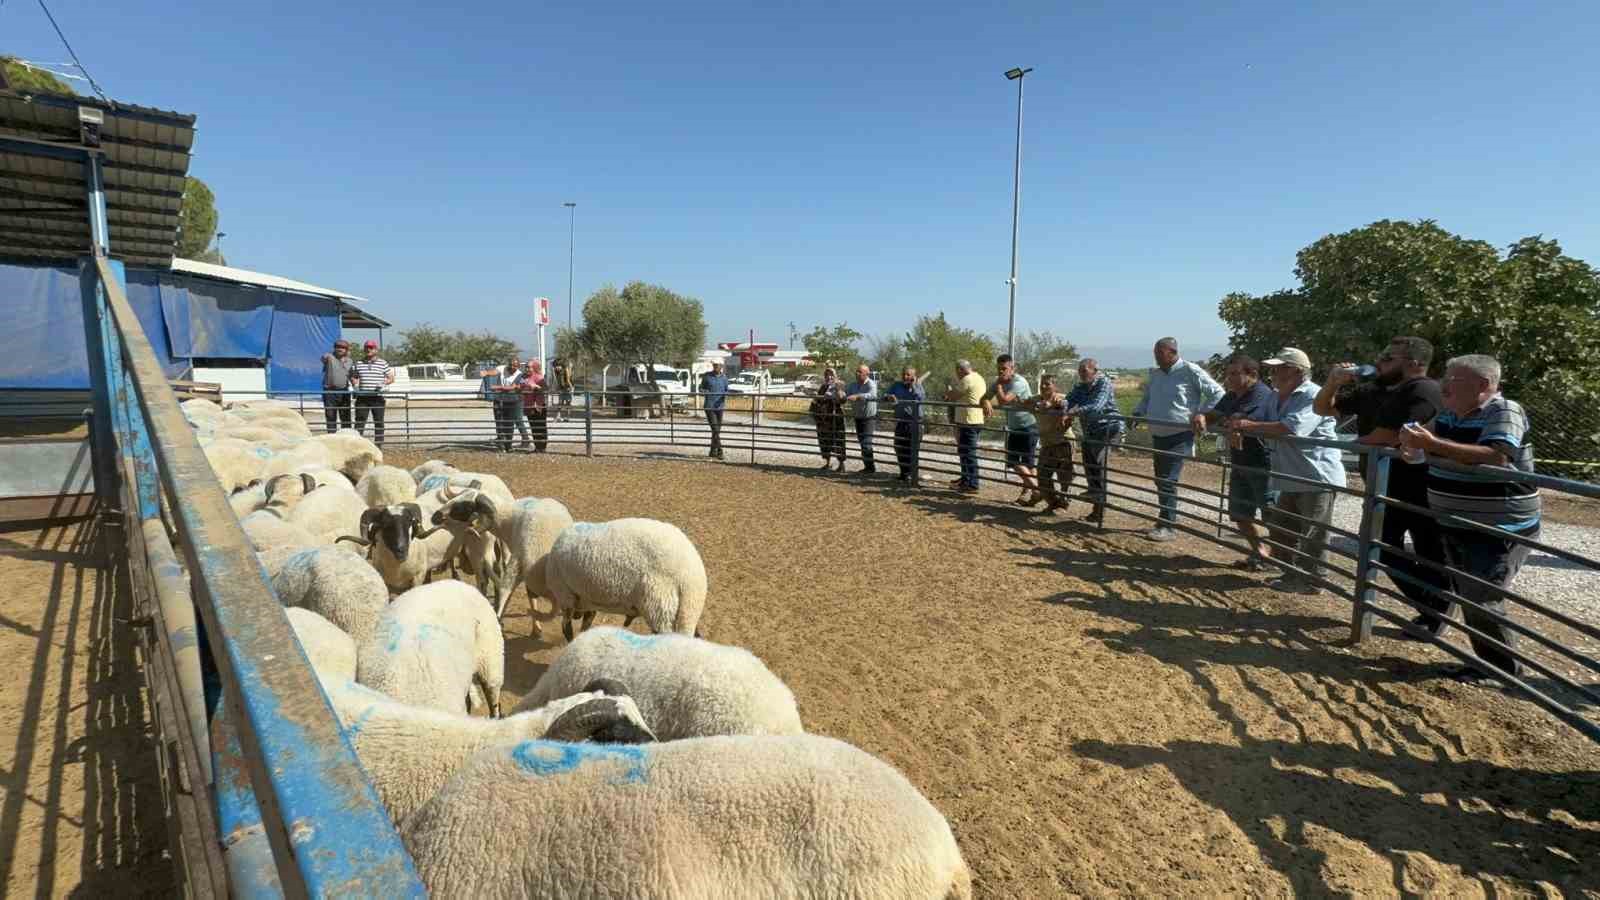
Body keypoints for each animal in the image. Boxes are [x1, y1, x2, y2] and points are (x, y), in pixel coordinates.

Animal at [544, 515, 707, 640]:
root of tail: (692, 580)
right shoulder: (585, 599)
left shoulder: (566, 595)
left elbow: (569, 627)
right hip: (678, 612)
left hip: (661, 607)